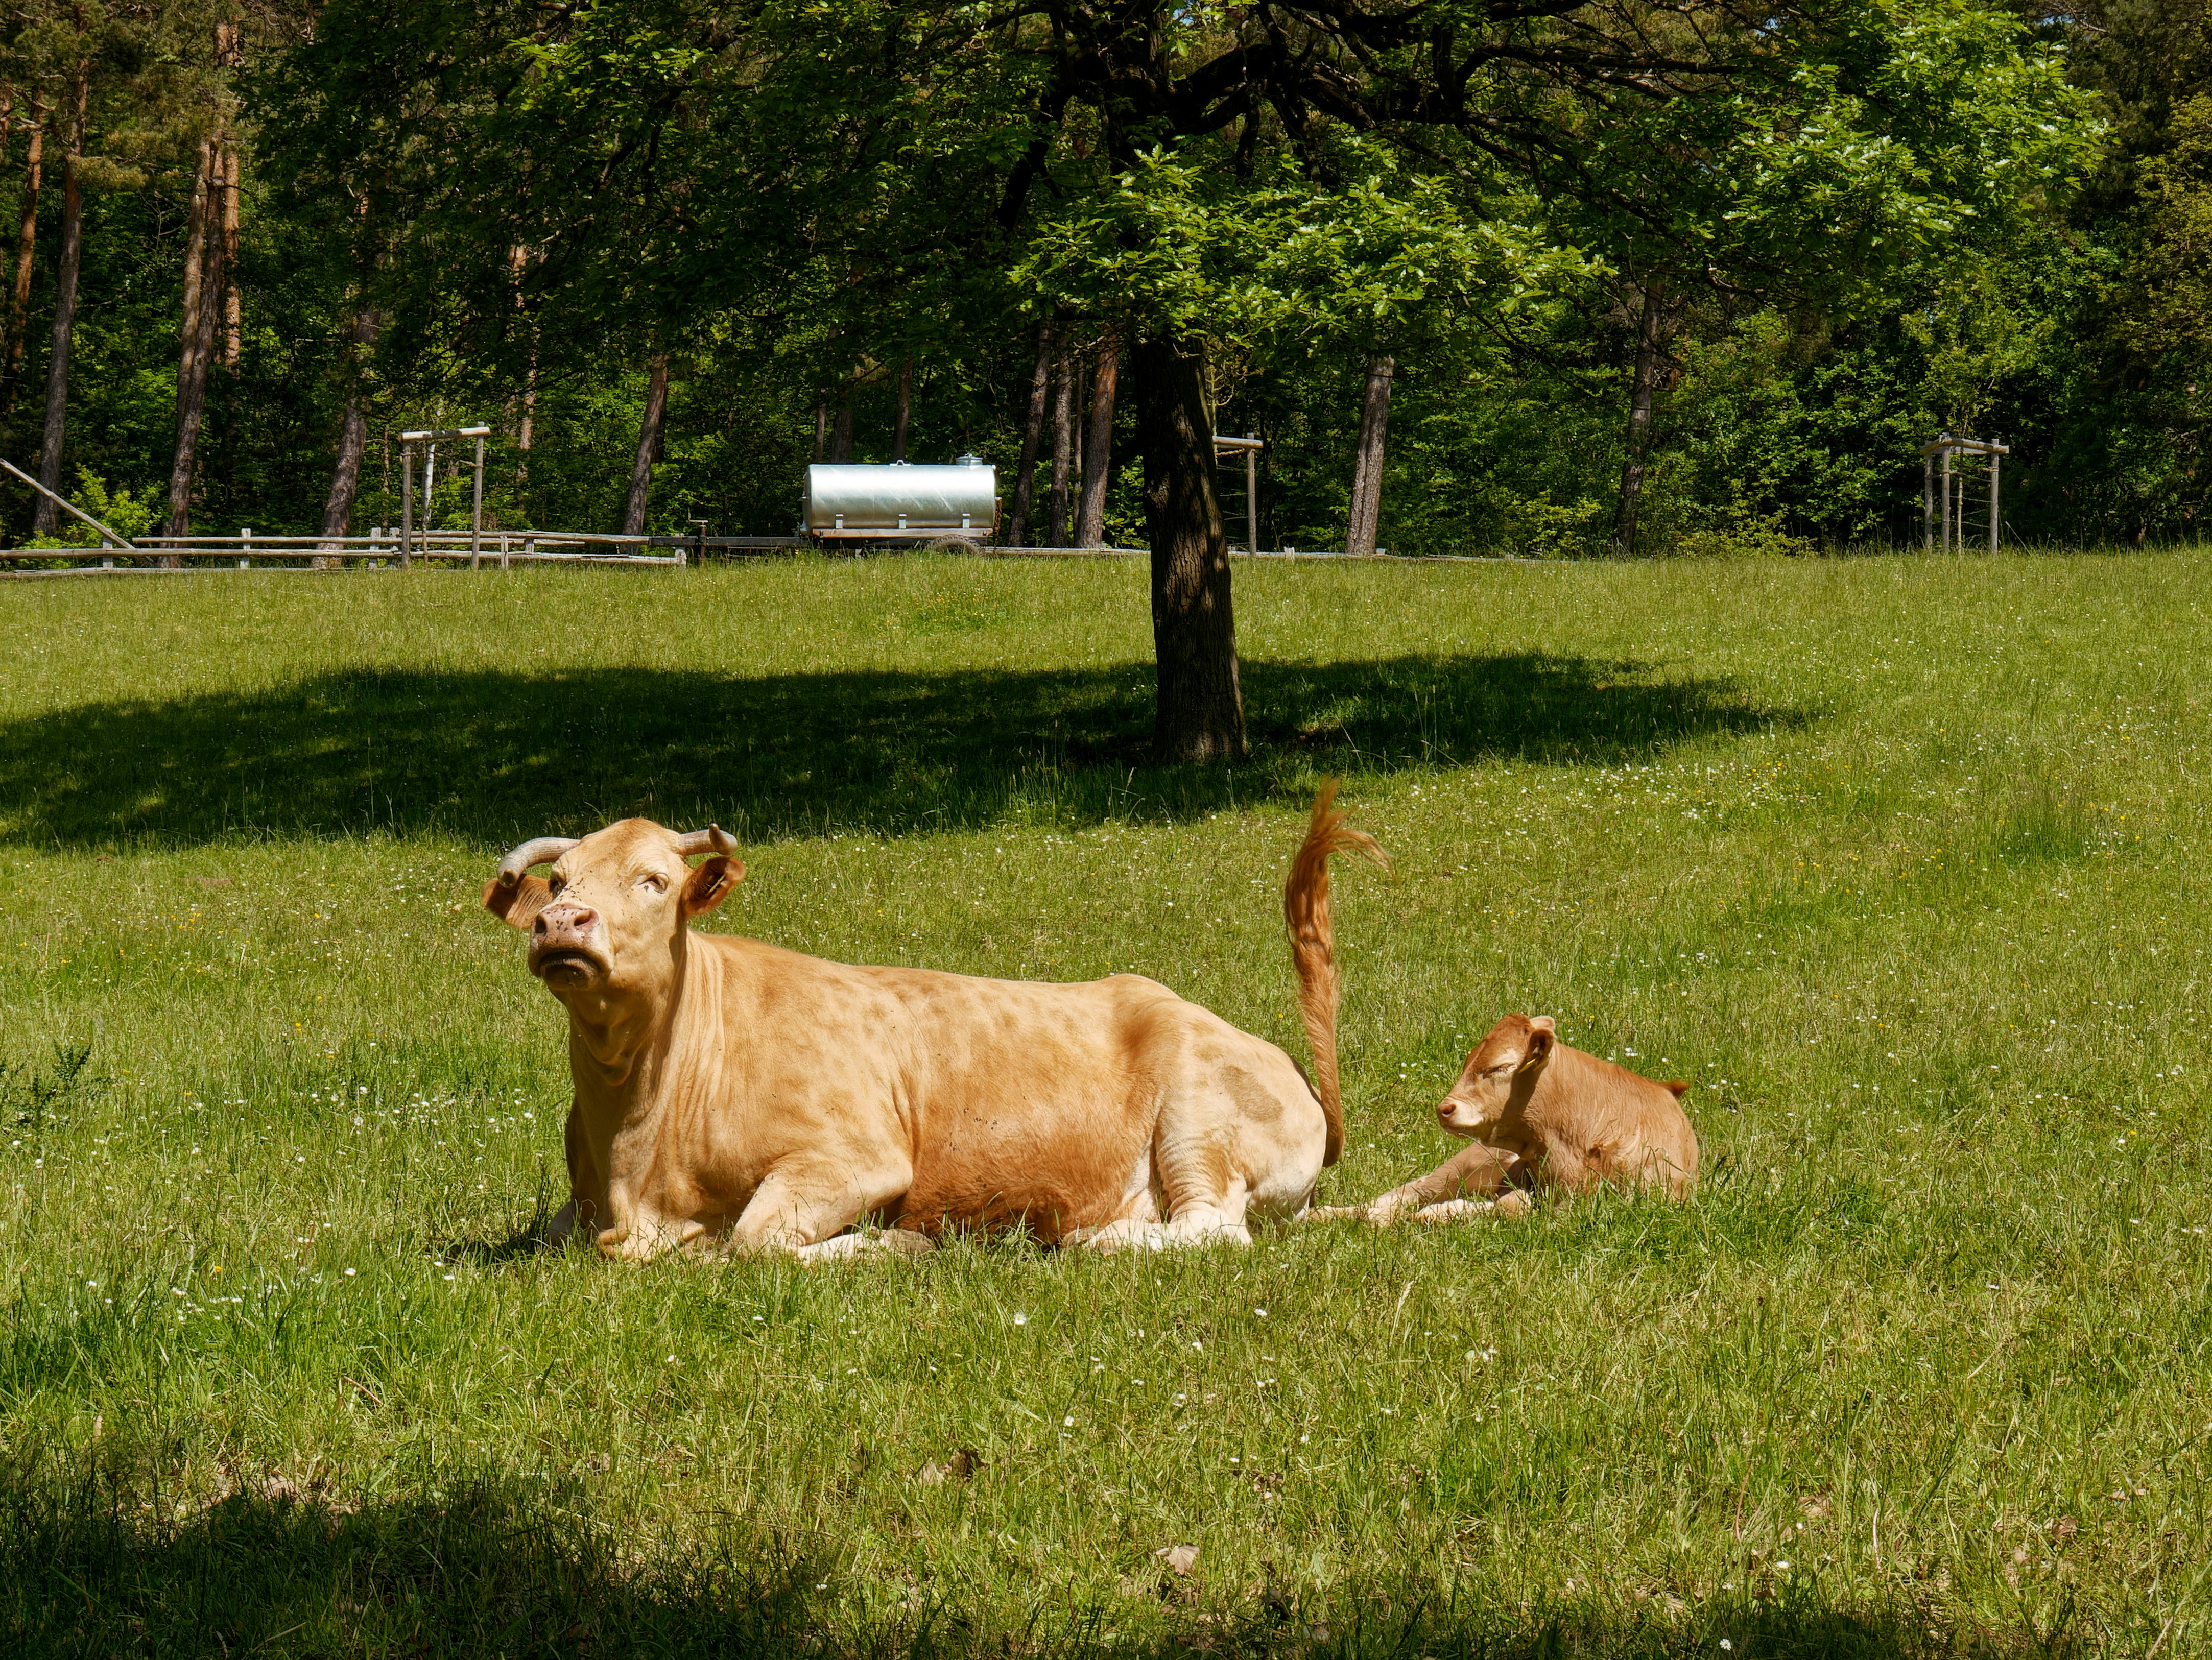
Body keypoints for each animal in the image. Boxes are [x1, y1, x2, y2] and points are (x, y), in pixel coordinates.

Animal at [481, 786, 1387, 1259]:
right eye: (558, 878)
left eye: (655, 880)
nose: (561, 923)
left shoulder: (854, 1157)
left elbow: (753, 1240)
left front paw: (892, 1245)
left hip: (1198, 1119)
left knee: (1211, 1229)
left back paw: (1076, 1240)